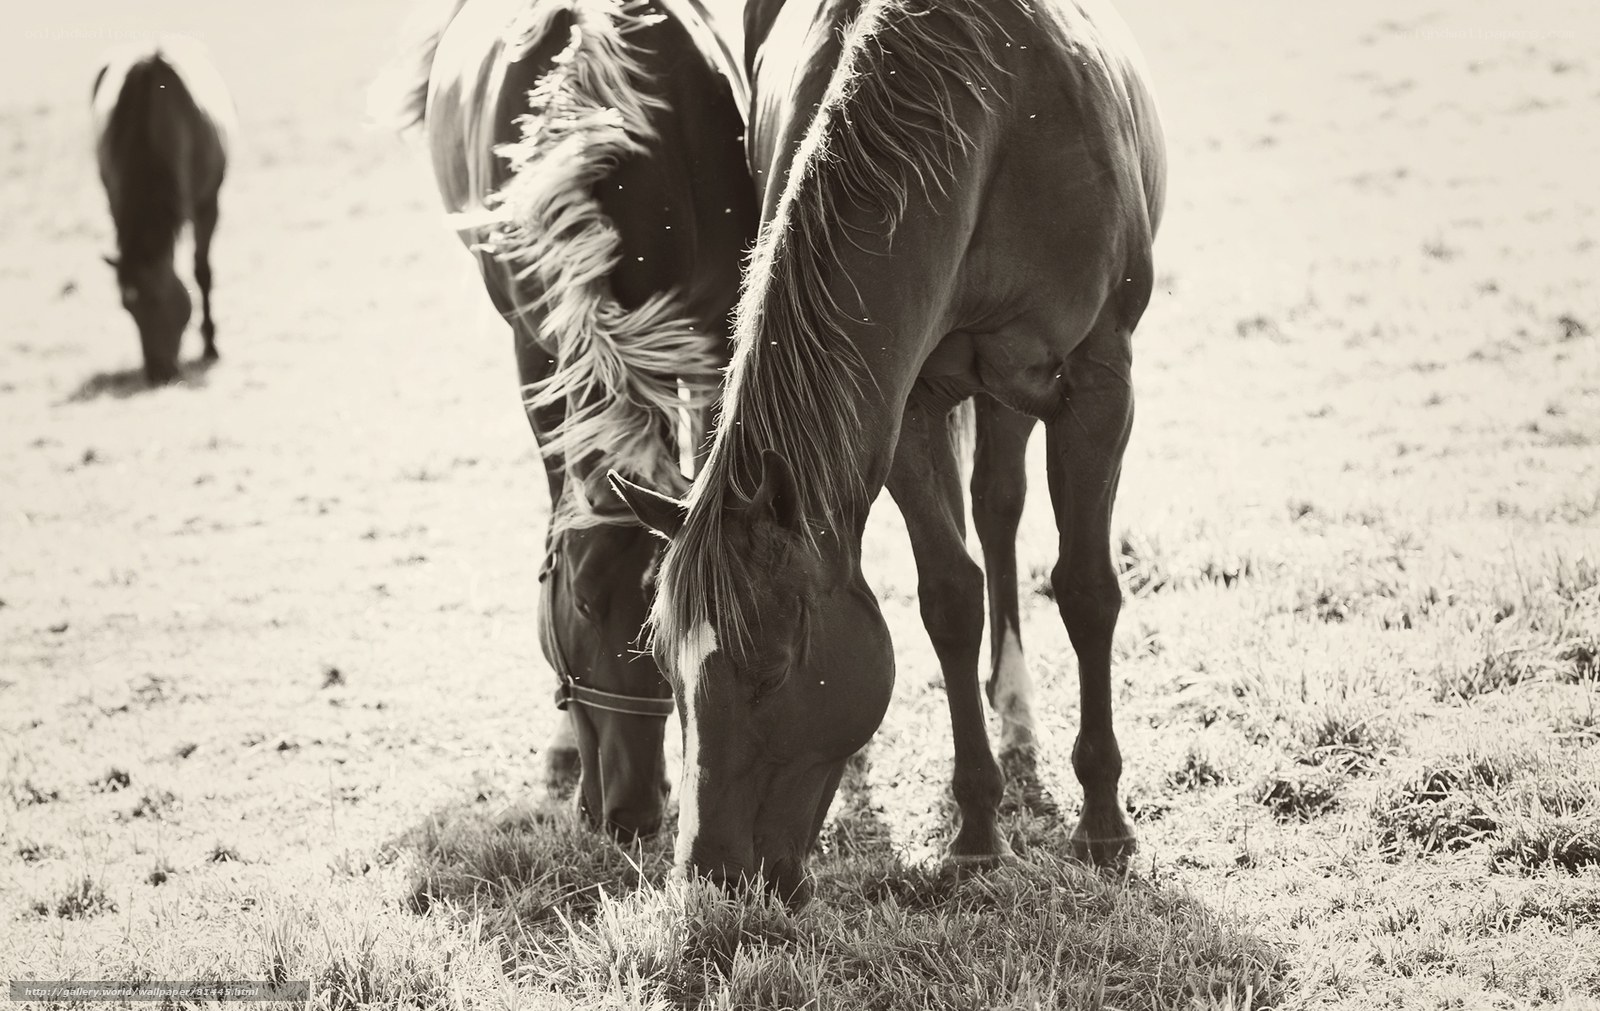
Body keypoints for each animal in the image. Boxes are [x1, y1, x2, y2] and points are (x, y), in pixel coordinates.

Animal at [92, 37, 234, 385]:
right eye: (127, 308)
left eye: (157, 299)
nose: (158, 373)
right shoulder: (116, 203)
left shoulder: (208, 204)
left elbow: (202, 272)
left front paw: (211, 345)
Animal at [612, 0, 1165, 905]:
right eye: (663, 666)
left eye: (773, 666)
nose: (710, 875)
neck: (992, 113)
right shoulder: (907, 403)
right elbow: (949, 598)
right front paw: (976, 832)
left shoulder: (1098, 380)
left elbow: (1085, 589)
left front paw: (1104, 825)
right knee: (993, 507)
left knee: (1004, 506)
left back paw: (1018, 706)